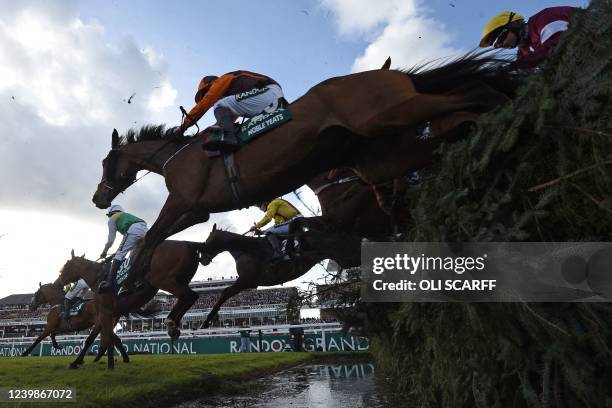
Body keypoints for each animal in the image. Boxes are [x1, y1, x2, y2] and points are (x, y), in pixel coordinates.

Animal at [93, 51, 520, 274]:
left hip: (391, 113)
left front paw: (130, 279)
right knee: (455, 115)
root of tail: (391, 72)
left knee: (470, 91)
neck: (175, 156)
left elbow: (151, 235)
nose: (98, 199)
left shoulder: (184, 200)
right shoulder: (197, 209)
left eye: (104, 164)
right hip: (379, 157)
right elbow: (155, 236)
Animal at [197, 220, 358, 328]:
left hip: (344, 255)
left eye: (207, 240)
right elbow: (224, 292)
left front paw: (206, 321)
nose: (201, 259)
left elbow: (224, 294)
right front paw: (213, 318)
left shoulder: (246, 280)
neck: (246, 250)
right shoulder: (247, 283)